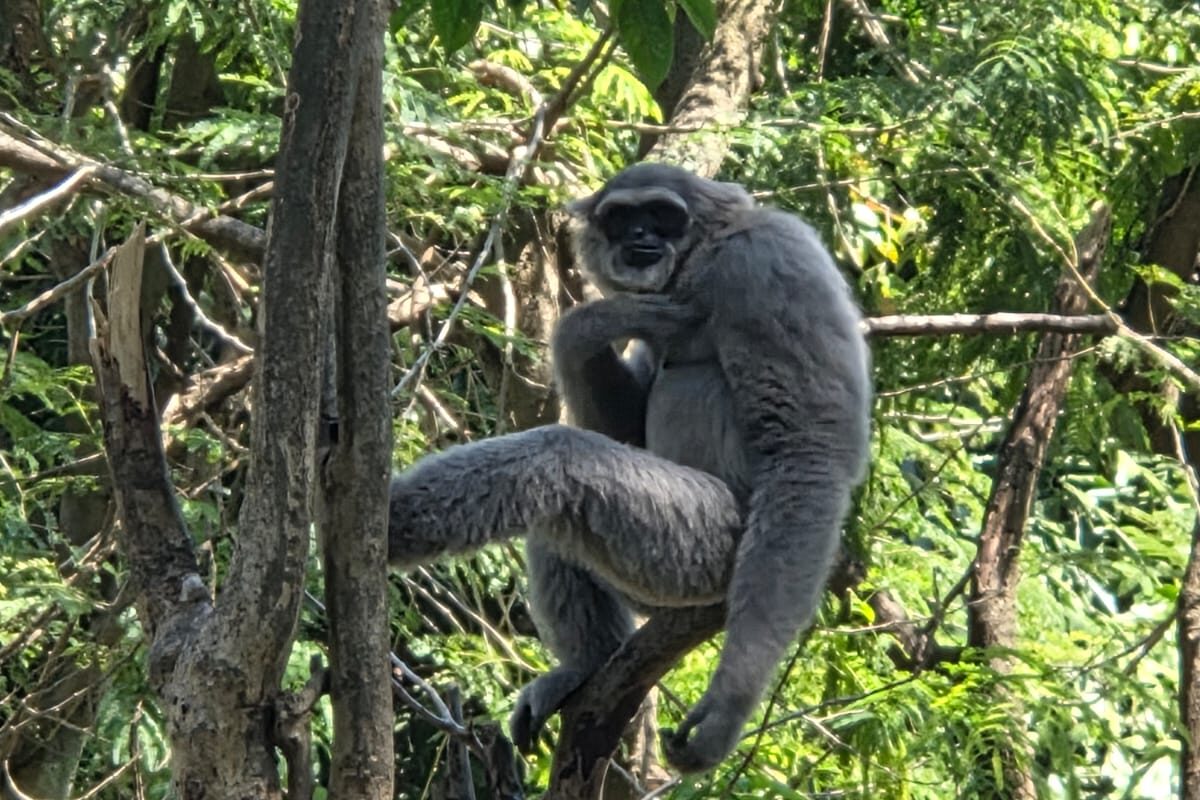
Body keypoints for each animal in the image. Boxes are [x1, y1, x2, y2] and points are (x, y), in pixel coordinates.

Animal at [387, 162, 871, 773]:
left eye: (662, 214)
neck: (702, 256)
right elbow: (622, 417)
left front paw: (730, 702)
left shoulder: (771, 261)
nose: (641, 236)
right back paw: (585, 668)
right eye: (622, 218)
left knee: (556, 461)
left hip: (707, 548)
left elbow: (807, 452)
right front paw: (591, 324)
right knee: (555, 513)